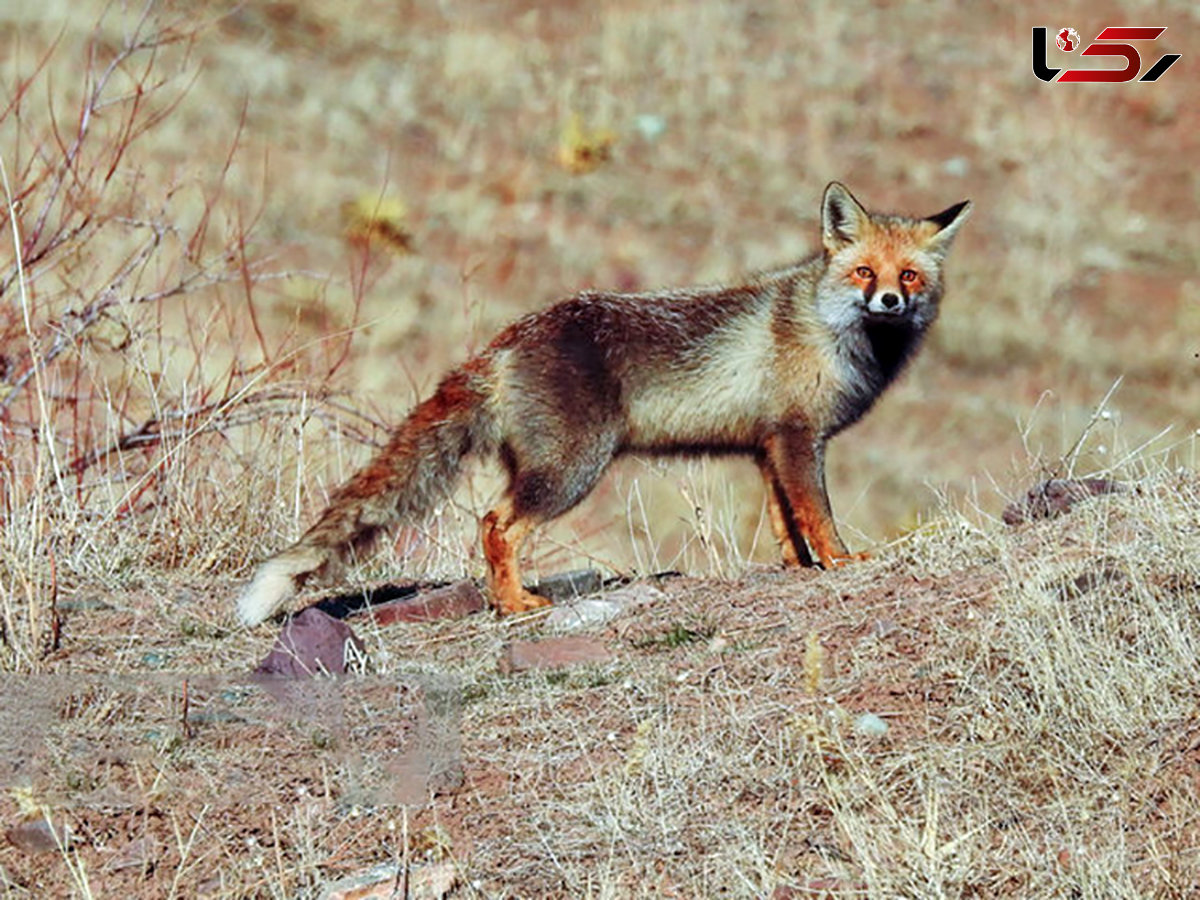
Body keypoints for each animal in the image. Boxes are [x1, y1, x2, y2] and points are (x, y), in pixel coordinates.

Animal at [236, 183, 974, 628]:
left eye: (909, 276)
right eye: (864, 273)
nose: (890, 302)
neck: (828, 330)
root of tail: (504, 342)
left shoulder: (769, 444)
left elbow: (784, 520)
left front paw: (798, 567)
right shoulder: (798, 438)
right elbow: (818, 516)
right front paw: (842, 563)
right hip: (572, 471)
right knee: (495, 524)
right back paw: (515, 605)